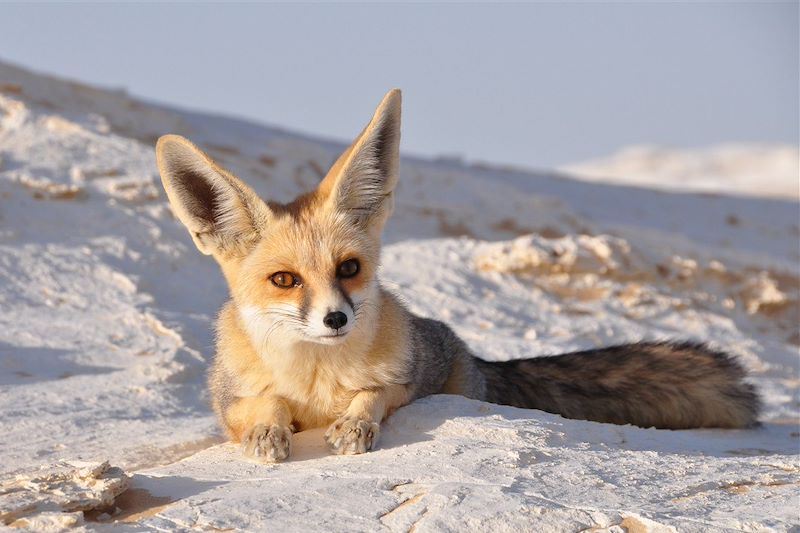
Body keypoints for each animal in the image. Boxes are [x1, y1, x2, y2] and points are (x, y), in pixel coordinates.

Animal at [158, 88, 764, 462]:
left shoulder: (407, 378)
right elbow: (261, 407)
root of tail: (474, 356)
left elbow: (373, 395)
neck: (314, 378)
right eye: (285, 280)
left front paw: (355, 424)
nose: (335, 319)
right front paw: (268, 430)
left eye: (348, 269)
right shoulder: (227, 401)